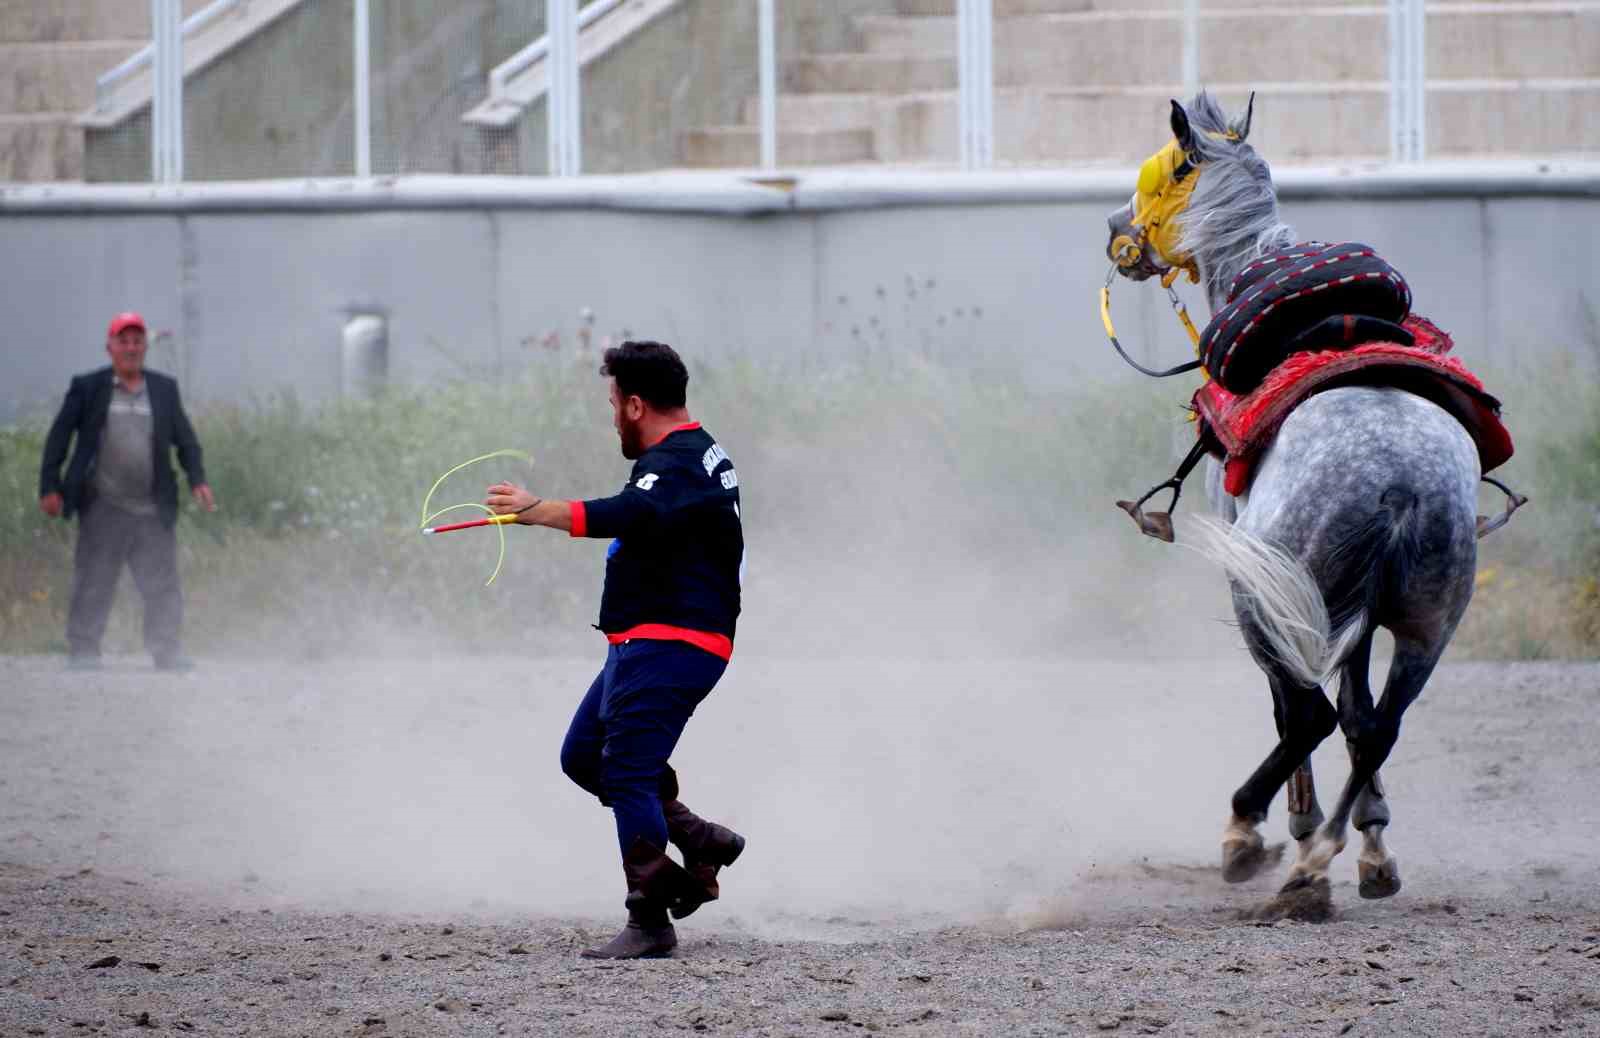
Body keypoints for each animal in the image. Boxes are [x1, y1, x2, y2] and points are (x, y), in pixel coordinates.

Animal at [1107, 93, 1504, 908]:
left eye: (1160, 173)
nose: (1115, 230)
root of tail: (1398, 483)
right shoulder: (1360, 616)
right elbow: (1358, 713)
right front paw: (1373, 845)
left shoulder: (1284, 601)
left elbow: (1300, 711)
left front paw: (1285, 828)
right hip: (1429, 622)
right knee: (1377, 724)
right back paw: (1327, 858)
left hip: (1268, 598)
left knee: (1309, 715)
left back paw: (1263, 839)